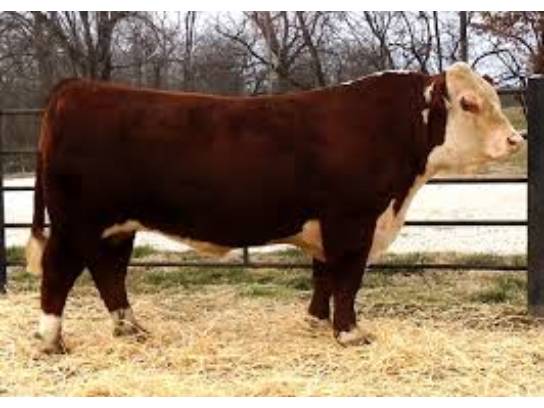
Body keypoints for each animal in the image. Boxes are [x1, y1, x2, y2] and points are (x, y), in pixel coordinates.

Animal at [25, 62, 524, 353]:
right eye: (468, 102)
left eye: (494, 98)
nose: (515, 139)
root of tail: (76, 87)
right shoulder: (353, 223)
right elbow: (347, 281)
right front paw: (350, 333)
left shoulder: (328, 227)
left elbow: (324, 277)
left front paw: (315, 324)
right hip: (75, 223)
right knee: (60, 271)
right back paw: (51, 340)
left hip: (117, 226)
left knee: (108, 271)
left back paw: (131, 328)